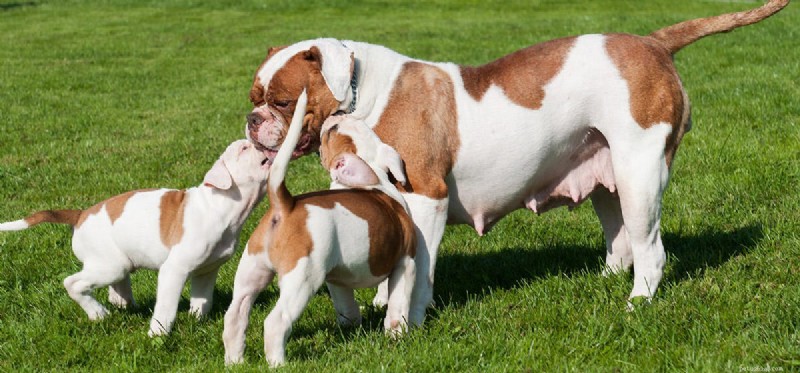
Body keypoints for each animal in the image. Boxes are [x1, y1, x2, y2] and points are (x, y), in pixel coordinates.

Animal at [0, 138, 272, 336]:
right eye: (245, 148)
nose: (259, 140)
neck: (222, 204)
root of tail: (80, 215)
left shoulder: (207, 271)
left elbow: (202, 301)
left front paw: (197, 322)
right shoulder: (174, 270)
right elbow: (166, 307)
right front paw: (157, 336)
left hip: (116, 263)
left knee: (114, 286)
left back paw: (122, 303)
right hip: (110, 266)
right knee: (73, 283)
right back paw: (98, 313)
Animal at [222, 91, 416, 366]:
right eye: (333, 129)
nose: (338, 114)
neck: (374, 178)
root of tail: (285, 204)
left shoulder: (337, 278)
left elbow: (346, 306)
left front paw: (352, 325)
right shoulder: (406, 263)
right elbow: (398, 305)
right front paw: (396, 336)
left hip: (251, 271)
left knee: (235, 315)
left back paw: (234, 361)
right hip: (302, 278)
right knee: (276, 322)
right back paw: (279, 364)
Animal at [242, 1, 788, 324]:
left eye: (283, 102)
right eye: (254, 97)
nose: (251, 119)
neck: (361, 93)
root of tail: (653, 41)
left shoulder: (426, 198)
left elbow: (416, 271)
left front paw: (404, 318)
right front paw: (380, 304)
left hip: (640, 175)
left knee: (650, 248)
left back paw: (638, 301)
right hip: (610, 179)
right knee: (621, 241)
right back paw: (607, 281)